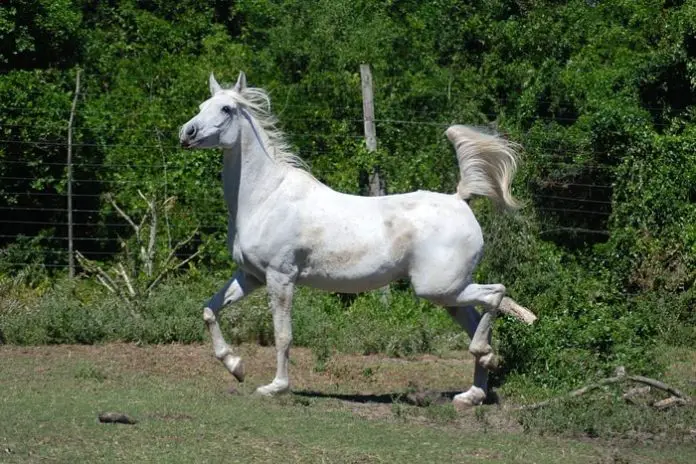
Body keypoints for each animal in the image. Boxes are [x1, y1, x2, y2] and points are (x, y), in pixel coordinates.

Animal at [179, 72, 530, 407]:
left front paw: (275, 387)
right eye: (201, 105)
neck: (266, 198)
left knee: (495, 294)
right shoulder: (251, 276)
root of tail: (460, 200)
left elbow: (283, 335)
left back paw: (485, 358)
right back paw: (472, 394)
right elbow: (209, 310)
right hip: (449, 294)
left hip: (438, 288)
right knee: (480, 315)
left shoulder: (281, 278)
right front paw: (235, 366)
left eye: (226, 109)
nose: (187, 133)